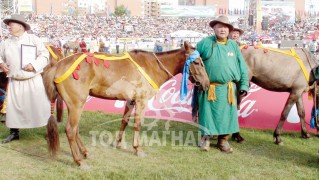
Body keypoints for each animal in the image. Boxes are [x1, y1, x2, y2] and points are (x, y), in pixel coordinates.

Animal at [43, 42, 211, 167]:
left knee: (75, 129)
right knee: (71, 130)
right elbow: (138, 124)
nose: (206, 84)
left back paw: (85, 152)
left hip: (75, 105)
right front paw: (137, 149)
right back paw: (78, 160)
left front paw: (119, 143)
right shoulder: (141, 100)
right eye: (197, 62)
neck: (151, 66)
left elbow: (124, 121)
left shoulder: (130, 100)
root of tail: (58, 65)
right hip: (76, 104)